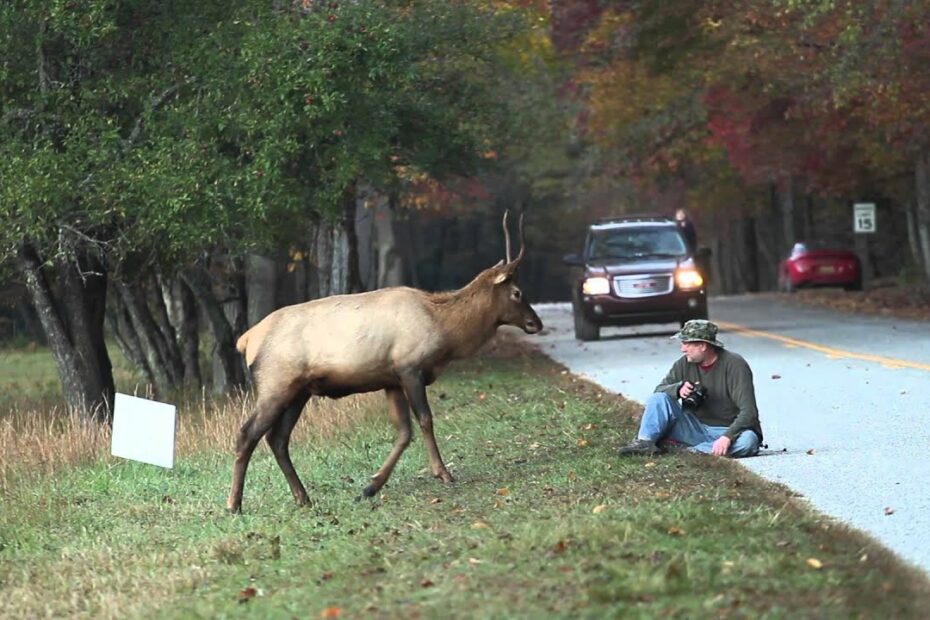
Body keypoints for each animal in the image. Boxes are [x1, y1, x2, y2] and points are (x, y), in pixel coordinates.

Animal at [227, 213, 540, 512]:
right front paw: (443, 473)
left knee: (277, 439)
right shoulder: (410, 368)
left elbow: (403, 432)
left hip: (299, 391)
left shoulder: (391, 380)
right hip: (276, 383)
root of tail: (246, 340)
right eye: (517, 293)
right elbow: (425, 420)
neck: (446, 331)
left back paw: (302, 497)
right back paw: (234, 504)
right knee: (247, 434)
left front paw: (371, 486)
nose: (535, 323)